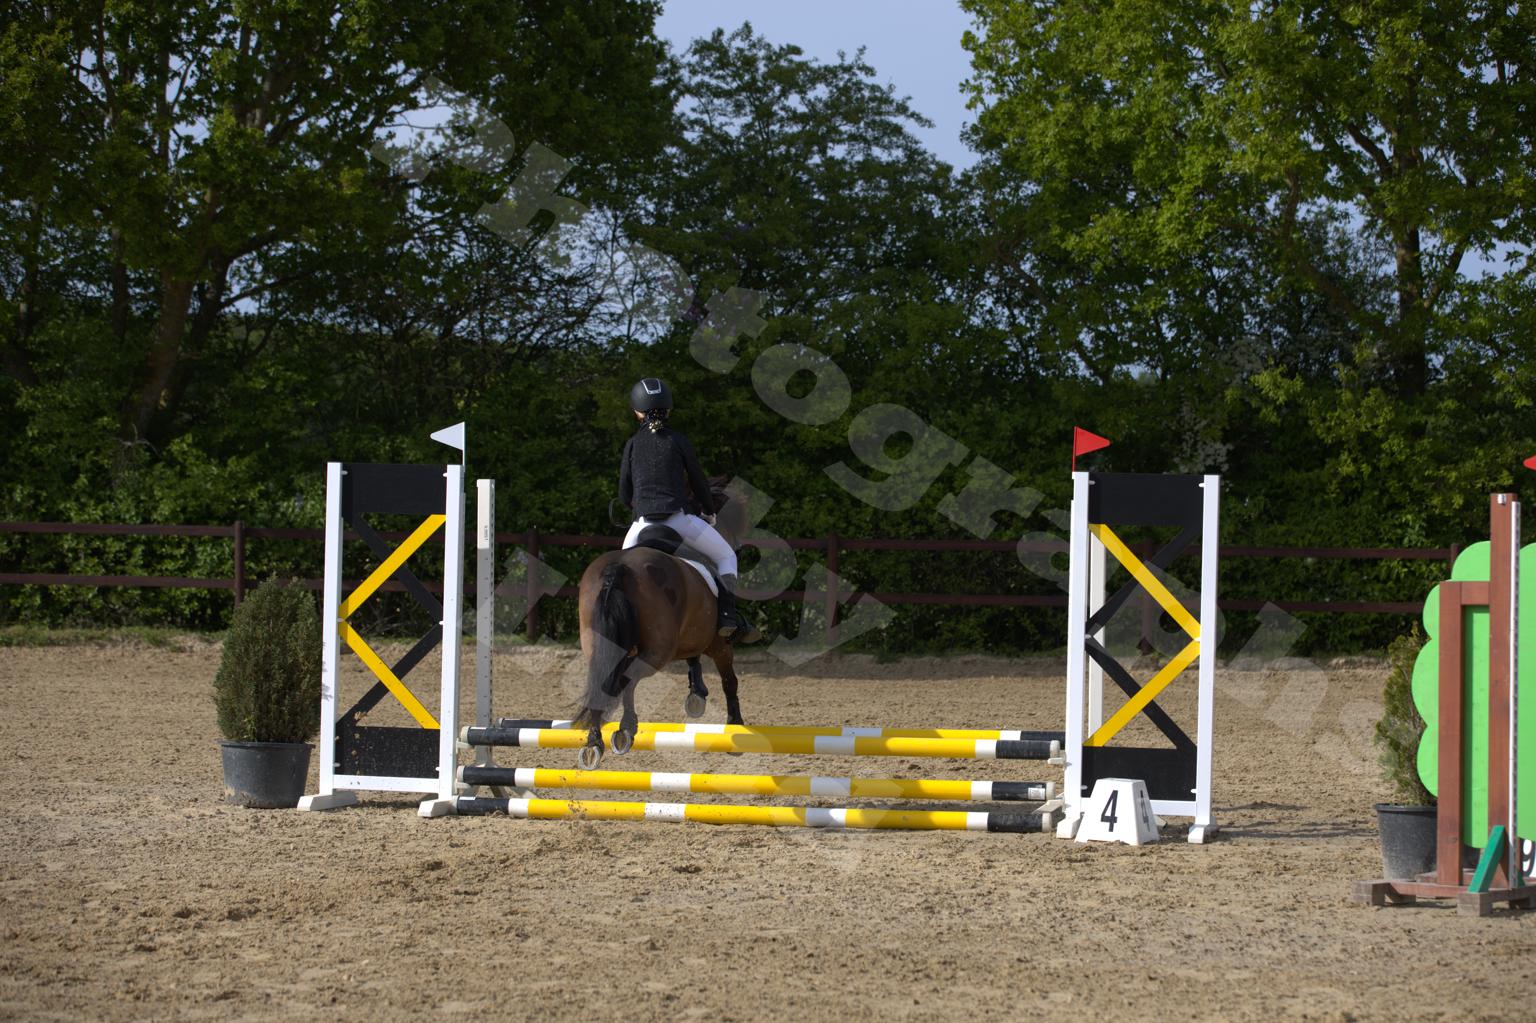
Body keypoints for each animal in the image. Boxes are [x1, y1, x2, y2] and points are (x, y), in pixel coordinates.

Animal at [569, 480, 751, 769]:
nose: (740, 548)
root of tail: (618, 569)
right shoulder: (719, 644)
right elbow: (729, 681)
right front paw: (735, 725)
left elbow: (694, 659)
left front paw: (697, 694)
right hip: (658, 651)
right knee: (626, 679)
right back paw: (626, 728)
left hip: (599, 645)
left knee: (605, 682)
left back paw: (594, 743)